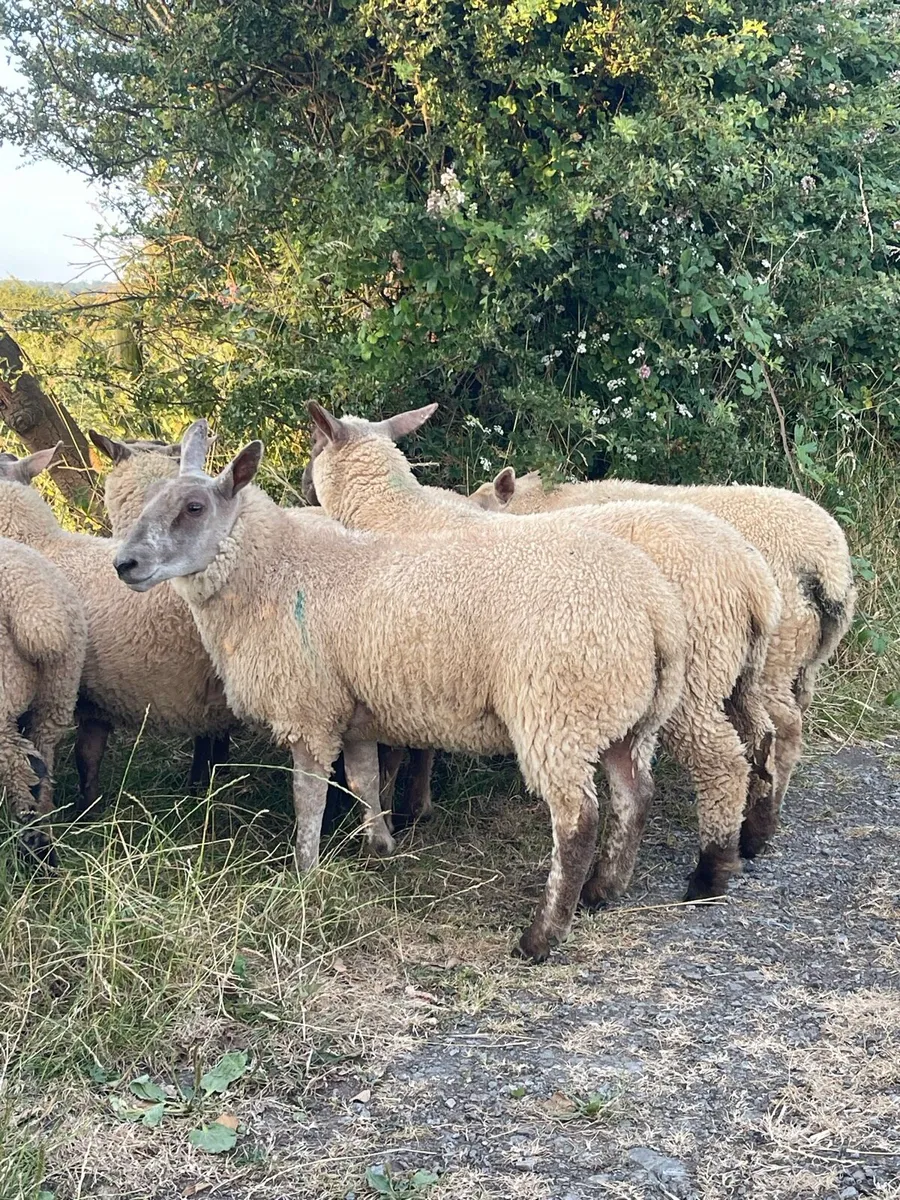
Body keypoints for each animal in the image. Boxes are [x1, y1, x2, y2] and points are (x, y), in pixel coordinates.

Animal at [114, 419, 687, 961]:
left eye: (194, 507)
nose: (124, 564)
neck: (275, 573)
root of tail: (655, 607)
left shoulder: (310, 710)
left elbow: (308, 798)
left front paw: (305, 872)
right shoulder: (353, 711)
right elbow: (365, 778)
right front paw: (380, 844)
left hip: (557, 713)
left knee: (577, 822)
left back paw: (541, 937)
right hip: (628, 718)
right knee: (635, 796)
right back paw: (602, 891)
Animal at [303, 404, 783, 899]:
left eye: (316, 443)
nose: (304, 484)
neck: (393, 511)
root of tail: (752, 578)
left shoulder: (393, 659)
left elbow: (397, 753)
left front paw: (397, 814)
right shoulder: (421, 663)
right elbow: (422, 749)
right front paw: (413, 808)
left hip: (691, 682)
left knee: (722, 763)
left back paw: (710, 872)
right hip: (737, 672)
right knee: (764, 738)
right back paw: (753, 835)